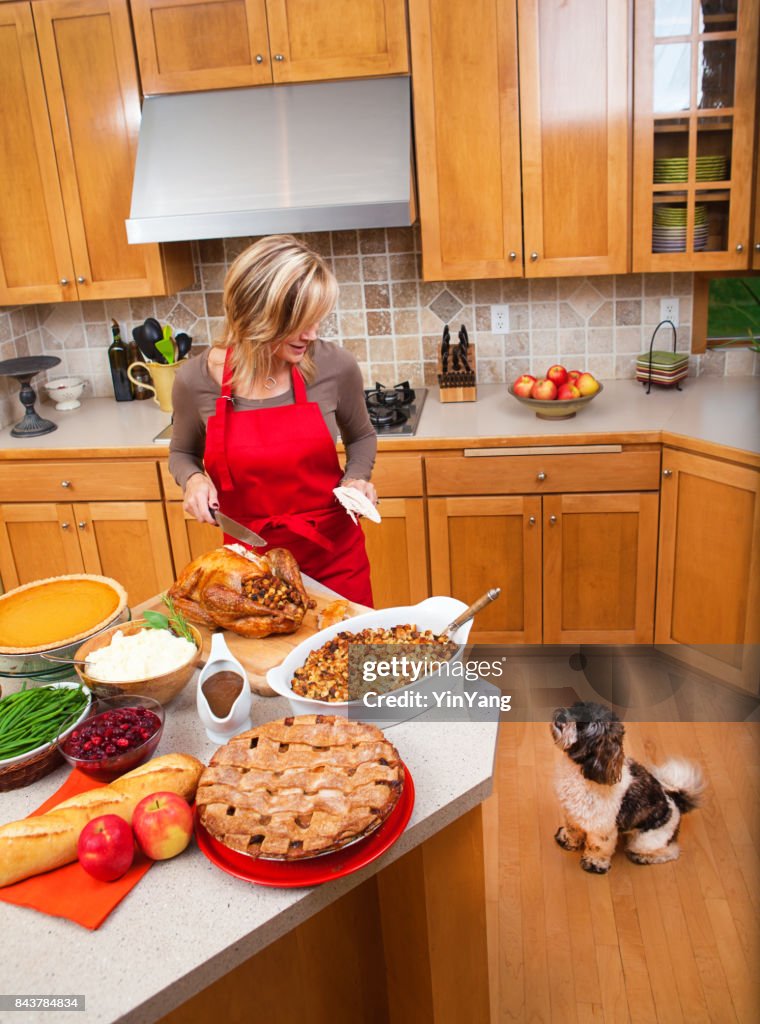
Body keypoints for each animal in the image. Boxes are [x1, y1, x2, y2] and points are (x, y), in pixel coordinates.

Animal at [549, 704, 704, 872]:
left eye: (582, 726)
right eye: (575, 708)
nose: (562, 717)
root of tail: (675, 803)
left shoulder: (602, 828)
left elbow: (598, 847)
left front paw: (594, 862)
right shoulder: (573, 814)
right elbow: (573, 829)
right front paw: (567, 839)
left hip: (644, 840)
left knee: (671, 851)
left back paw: (643, 857)